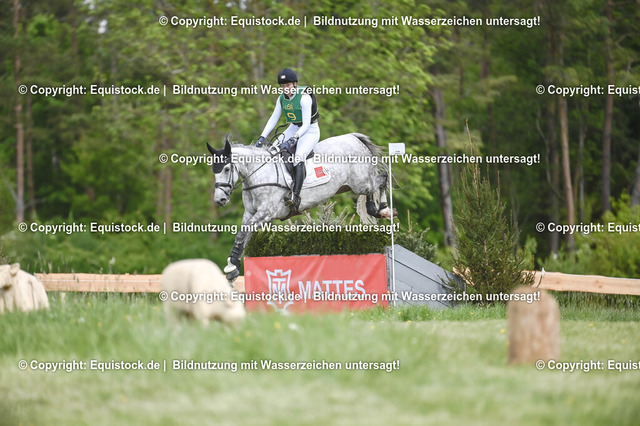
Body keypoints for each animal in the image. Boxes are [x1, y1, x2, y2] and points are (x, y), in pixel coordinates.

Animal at [206, 133, 393, 281]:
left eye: (227, 168)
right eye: (214, 171)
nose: (220, 200)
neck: (259, 173)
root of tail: (354, 138)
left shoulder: (266, 212)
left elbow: (242, 235)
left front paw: (231, 266)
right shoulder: (250, 213)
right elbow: (242, 237)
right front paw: (233, 266)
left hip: (360, 183)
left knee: (381, 178)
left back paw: (383, 209)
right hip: (349, 185)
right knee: (375, 184)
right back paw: (375, 209)